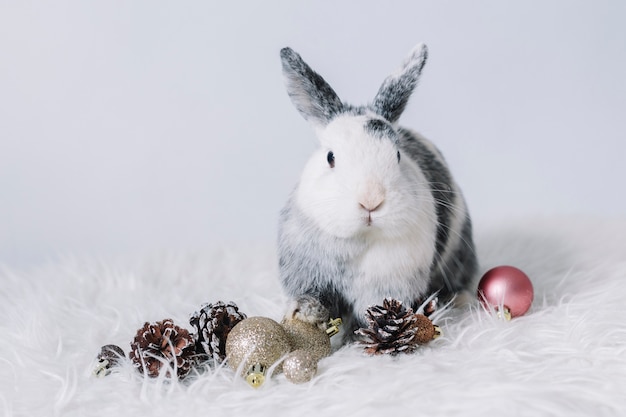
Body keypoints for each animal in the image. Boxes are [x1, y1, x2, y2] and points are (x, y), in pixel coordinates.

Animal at [276, 43, 476, 342]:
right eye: (330, 157)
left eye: (397, 155)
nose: (370, 201)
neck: (360, 238)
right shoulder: (310, 276)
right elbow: (315, 299)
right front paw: (304, 315)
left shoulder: (388, 283)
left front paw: (358, 339)